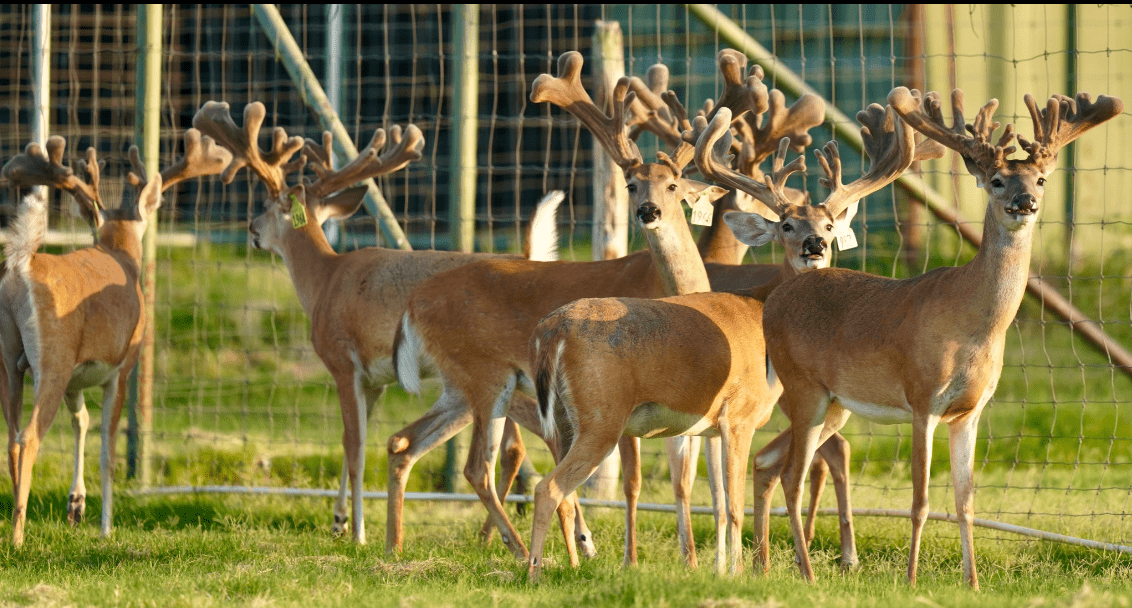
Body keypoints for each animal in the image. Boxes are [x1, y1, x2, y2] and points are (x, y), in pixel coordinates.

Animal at [0, 129, 233, 546]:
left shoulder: (76, 376)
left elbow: (82, 421)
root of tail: (21, 265)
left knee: (9, 439)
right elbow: (108, 451)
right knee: (28, 438)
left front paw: (76, 506)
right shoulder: (122, 367)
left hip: (8, 358)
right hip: (53, 359)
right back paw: (17, 539)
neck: (118, 253)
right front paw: (105, 527)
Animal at [190, 101, 563, 546]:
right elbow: (351, 440)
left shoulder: (342, 361)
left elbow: (355, 446)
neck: (324, 280)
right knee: (527, 444)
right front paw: (339, 520)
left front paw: (359, 533)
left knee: (534, 441)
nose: (251, 230)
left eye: (266, 203)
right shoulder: (377, 380)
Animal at [522, 92, 945, 580]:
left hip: (564, 421)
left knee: (557, 490)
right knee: (548, 489)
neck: (762, 312)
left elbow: (717, 501)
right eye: (786, 225)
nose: (815, 246)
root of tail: (550, 330)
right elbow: (734, 505)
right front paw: (741, 572)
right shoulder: (738, 414)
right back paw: (534, 571)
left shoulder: (709, 426)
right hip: (602, 415)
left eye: (829, 226)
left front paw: (721, 568)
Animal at [759, 86, 1122, 589]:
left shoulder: (971, 410)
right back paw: (808, 575)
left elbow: (965, 502)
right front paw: (912, 581)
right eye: (996, 181)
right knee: (792, 477)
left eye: (1042, 180)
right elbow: (920, 501)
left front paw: (973, 582)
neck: (975, 331)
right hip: (802, 387)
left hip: (833, 402)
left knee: (777, 466)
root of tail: (775, 298)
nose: (1025, 202)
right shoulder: (922, 397)